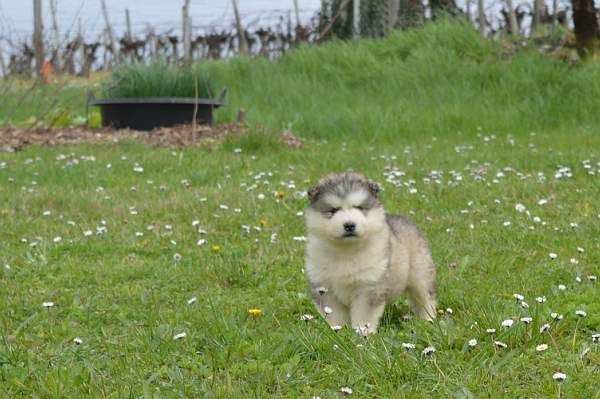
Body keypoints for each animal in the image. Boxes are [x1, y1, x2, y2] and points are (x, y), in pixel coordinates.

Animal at [304, 172, 436, 334]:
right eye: (333, 210)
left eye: (360, 207)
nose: (349, 225)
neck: (346, 250)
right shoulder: (324, 287)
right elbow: (334, 315)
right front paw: (338, 331)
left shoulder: (368, 286)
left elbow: (364, 314)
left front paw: (362, 333)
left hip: (420, 274)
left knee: (425, 297)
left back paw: (428, 319)